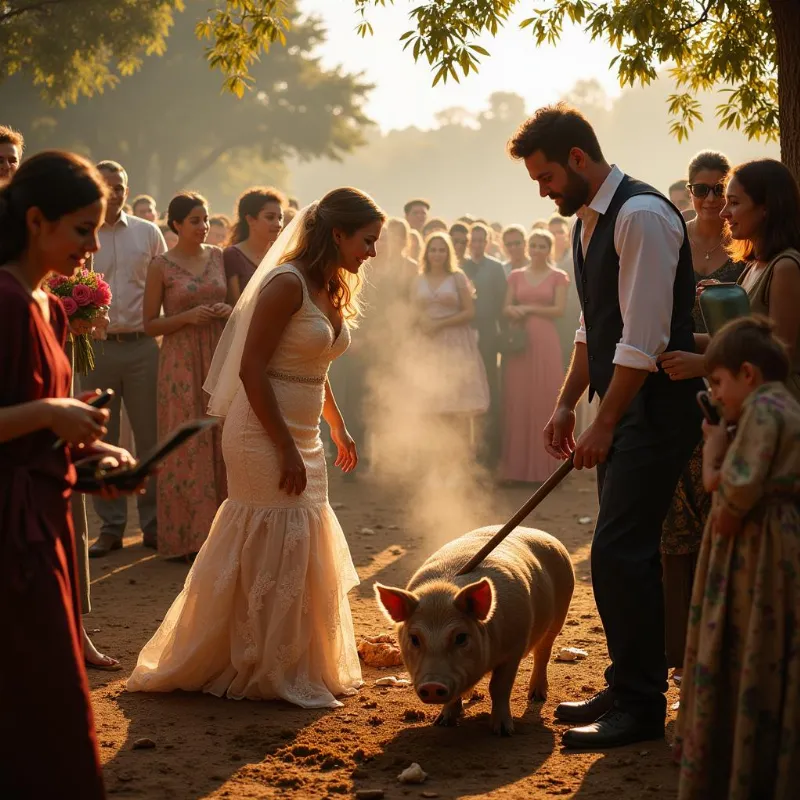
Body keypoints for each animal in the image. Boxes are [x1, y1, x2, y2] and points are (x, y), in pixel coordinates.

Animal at [376, 524, 576, 736]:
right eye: (414, 638)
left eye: (461, 637)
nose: (432, 685)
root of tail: (538, 531)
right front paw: (443, 722)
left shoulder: (514, 648)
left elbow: (499, 687)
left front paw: (503, 731)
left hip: (560, 612)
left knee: (543, 653)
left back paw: (537, 696)